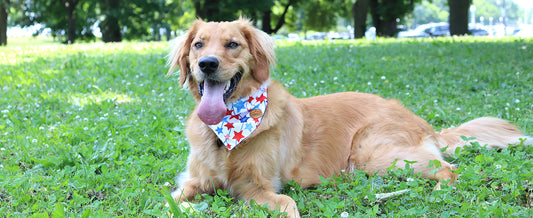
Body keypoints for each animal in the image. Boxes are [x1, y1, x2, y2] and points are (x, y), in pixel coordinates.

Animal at [165, 18, 528, 216]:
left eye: (233, 44)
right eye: (198, 45)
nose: (207, 64)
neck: (226, 129)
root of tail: (420, 121)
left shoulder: (259, 184)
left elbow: (286, 203)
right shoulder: (193, 180)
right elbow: (172, 199)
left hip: (376, 153)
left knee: (449, 170)